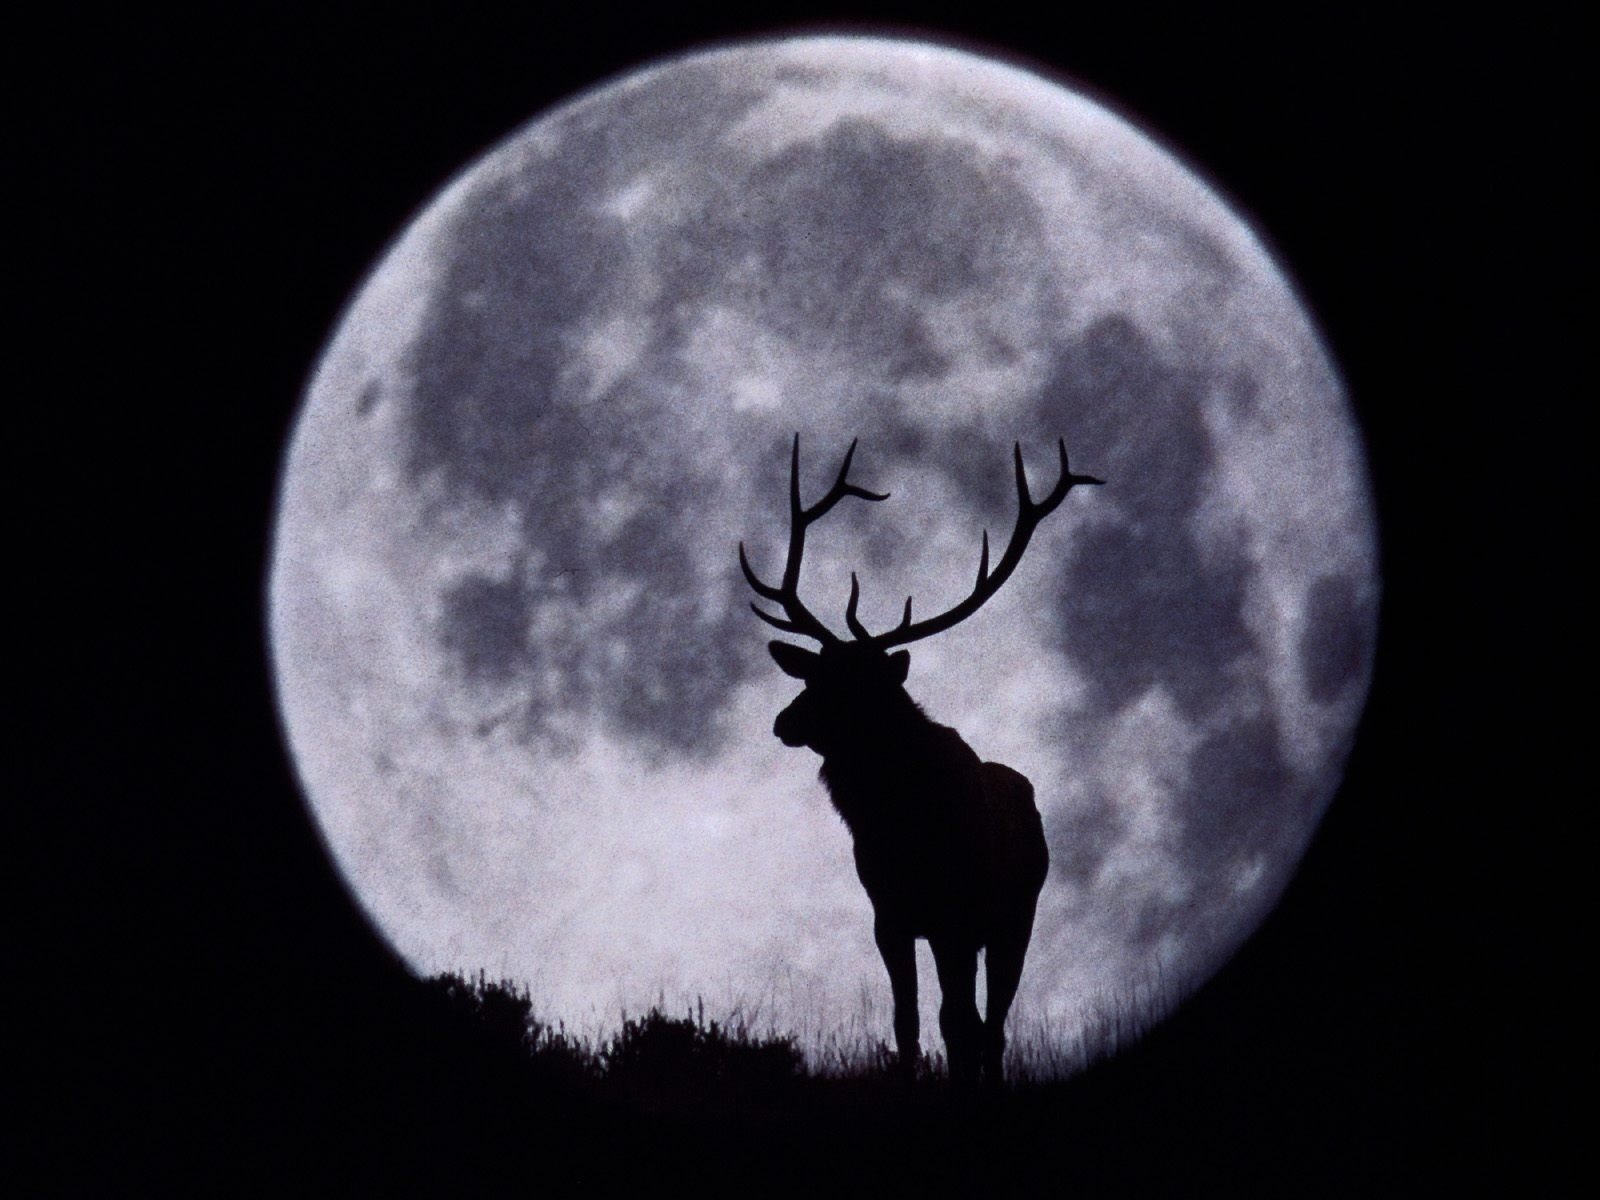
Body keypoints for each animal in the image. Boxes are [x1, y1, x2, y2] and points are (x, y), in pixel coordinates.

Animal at [739, 434, 1102, 1089]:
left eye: (857, 685)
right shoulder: (891, 914)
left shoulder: (957, 915)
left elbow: (957, 1022)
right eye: (813, 674)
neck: (902, 824)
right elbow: (906, 1020)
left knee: (991, 1023)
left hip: (1015, 919)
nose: (784, 722)